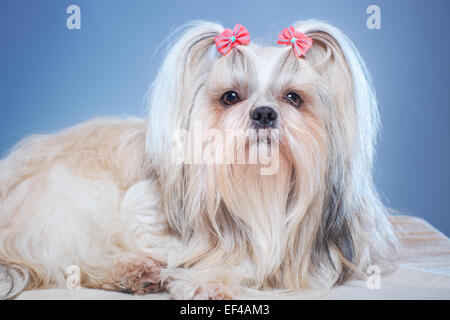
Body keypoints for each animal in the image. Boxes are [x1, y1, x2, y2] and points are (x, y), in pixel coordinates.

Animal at [0, 20, 396, 300]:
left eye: (293, 98)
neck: (260, 194)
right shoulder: (145, 214)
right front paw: (210, 277)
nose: (264, 114)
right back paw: (134, 272)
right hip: (71, 196)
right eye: (230, 97)